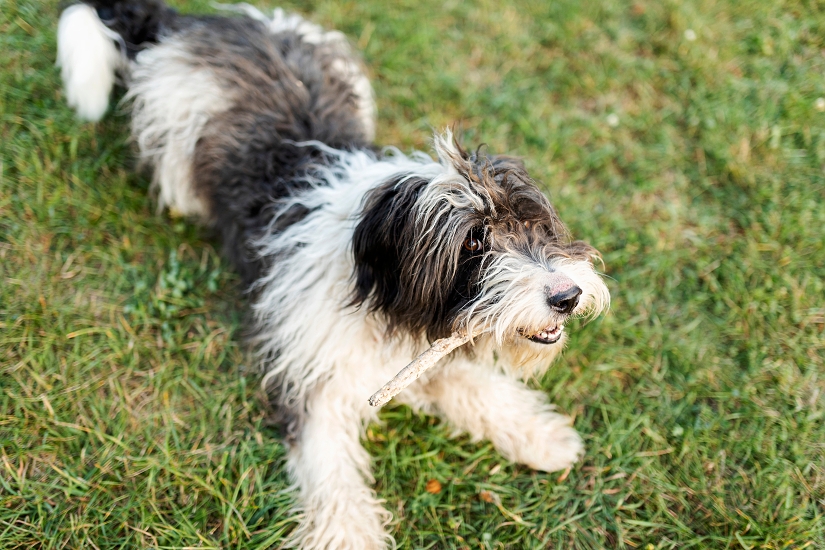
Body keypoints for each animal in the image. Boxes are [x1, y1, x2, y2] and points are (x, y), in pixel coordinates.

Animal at [58, 2, 608, 548]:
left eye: (535, 223)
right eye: (474, 241)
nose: (567, 295)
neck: (376, 288)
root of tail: (188, 22)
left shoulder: (425, 347)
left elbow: (473, 385)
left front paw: (540, 435)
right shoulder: (310, 374)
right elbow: (332, 469)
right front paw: (347, 533)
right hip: (174, 156)